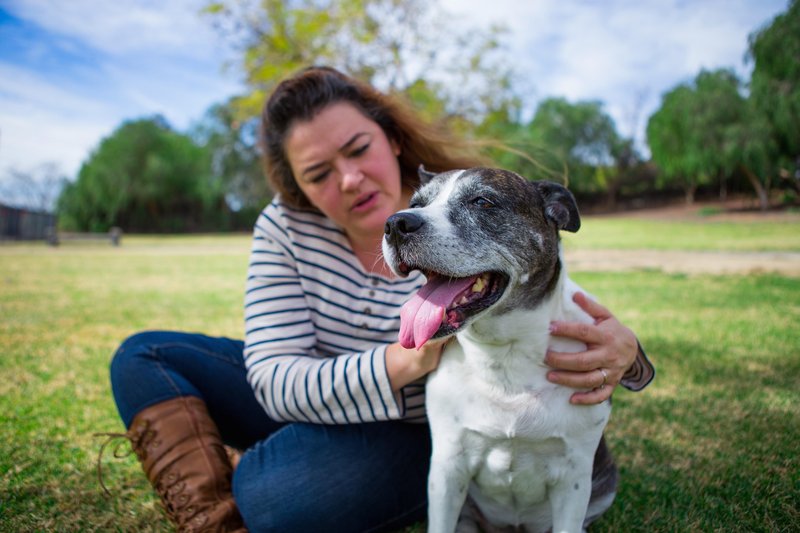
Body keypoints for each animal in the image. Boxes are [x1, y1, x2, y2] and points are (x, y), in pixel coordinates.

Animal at [382, 166, 612, 532]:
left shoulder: (573, 480)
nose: (395, 223)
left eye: (482, 202)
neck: (505, 356)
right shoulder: (447, 469)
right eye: (416, 204)